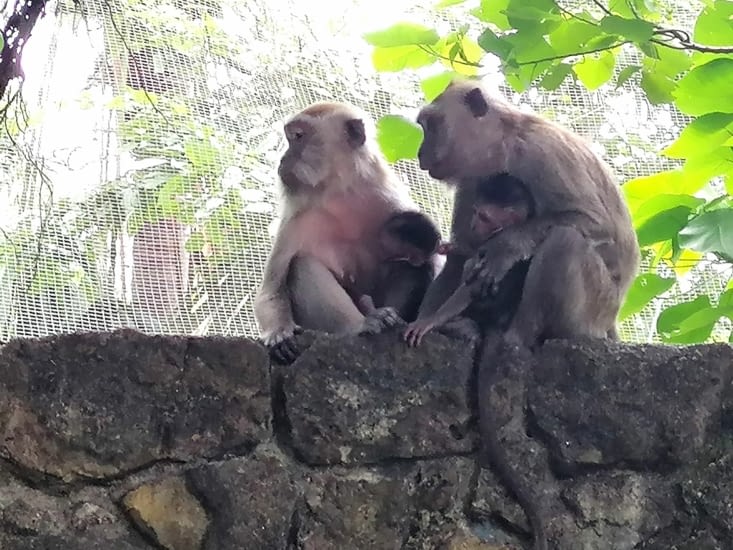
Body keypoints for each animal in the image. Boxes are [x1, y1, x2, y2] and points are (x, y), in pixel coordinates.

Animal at [253, 101, 436, 364]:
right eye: (291, 138)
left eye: (298, 137)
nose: (283, 158)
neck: (339, 196)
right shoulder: (297, 220)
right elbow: (271, 291)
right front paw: (279, 333)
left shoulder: (389, 200)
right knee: (301, 265)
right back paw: (361, 325)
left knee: (416, 262)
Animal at [403, 172, 534, 347]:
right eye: (475, 211)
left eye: (483, 217)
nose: (473, 225)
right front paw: (451, 248)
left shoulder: (496, 240)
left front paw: (431, 321)